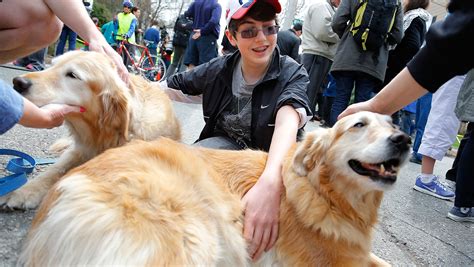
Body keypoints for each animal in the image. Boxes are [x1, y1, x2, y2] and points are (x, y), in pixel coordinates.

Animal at [1, 50, 181, 209]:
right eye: (52, 65)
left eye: (72, 75)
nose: (18, 82)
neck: (103, 133)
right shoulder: (79, 150)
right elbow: (54, 169)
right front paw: (23, 191)